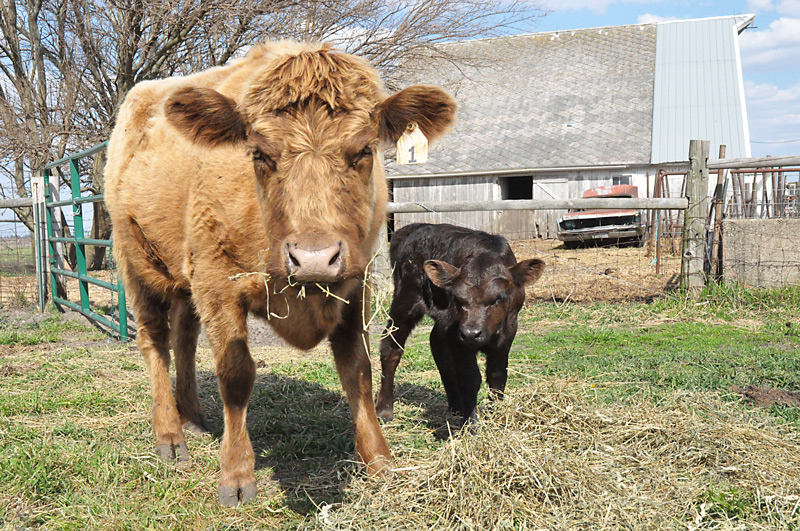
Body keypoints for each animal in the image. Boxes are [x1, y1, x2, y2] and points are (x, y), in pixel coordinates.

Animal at [104, 41, 456, 506]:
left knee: (184, 337)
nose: (313, 258)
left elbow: (358, 371)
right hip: (135, 263)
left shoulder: (354, 288)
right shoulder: (218, 286)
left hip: (184, 281)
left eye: (364, 151)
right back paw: (170, 435)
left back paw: (194, 418)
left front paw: (379, 461)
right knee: (155, 341)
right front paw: (236, 475)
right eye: (259, 154)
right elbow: (236, 375)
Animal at [374, 223, 545, 424]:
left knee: (438, 347)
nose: (472, 333)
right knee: (390, 346)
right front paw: (471, 424)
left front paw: (495, 413)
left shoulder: (508, 330)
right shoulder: (458, 336)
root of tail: (411, 229)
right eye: (457, 298)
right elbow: (470, 378)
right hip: (406, 301)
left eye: (499, 298)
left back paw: (455, 407)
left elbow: (497, 375)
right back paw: (384, 410)